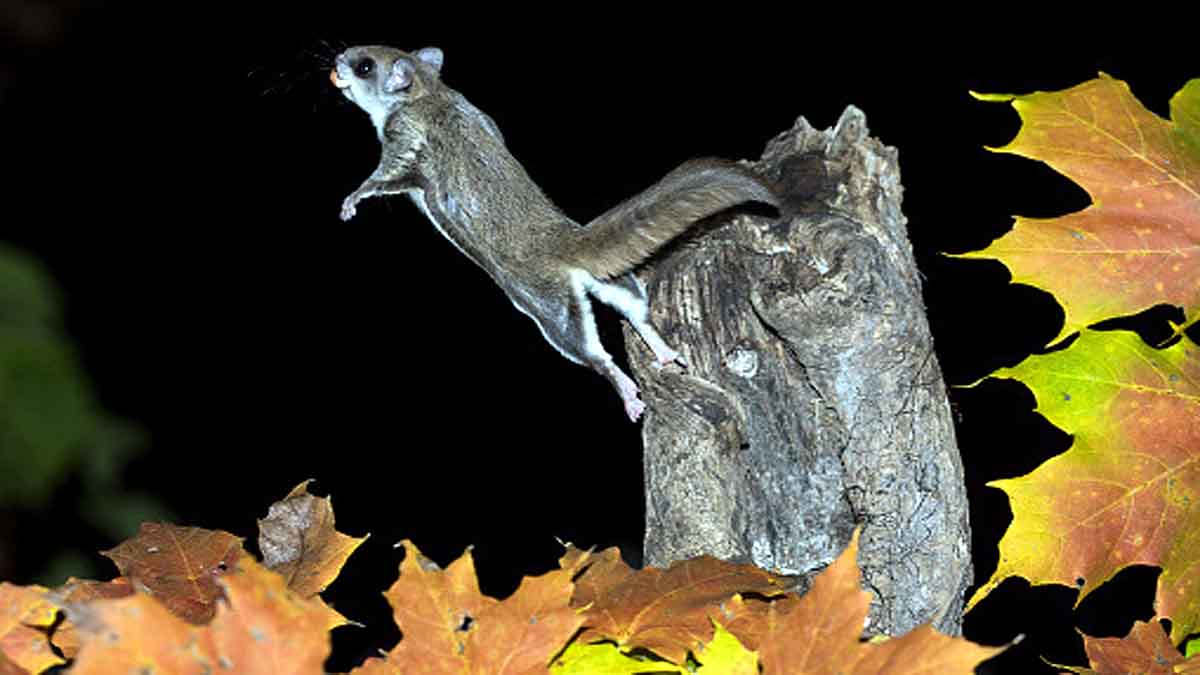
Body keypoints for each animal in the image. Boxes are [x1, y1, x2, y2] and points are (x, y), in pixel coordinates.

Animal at [332, 45, 778, 421]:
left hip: (552, 311)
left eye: (364, 65)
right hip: (612, 281)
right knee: (639, 313)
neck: (427, 90)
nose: (336, 59)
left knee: (596, 357)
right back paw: (665, 353)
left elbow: (381, 178)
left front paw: (351, 201)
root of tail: (565, 243)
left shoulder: (403, 140)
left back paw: (629, 395)